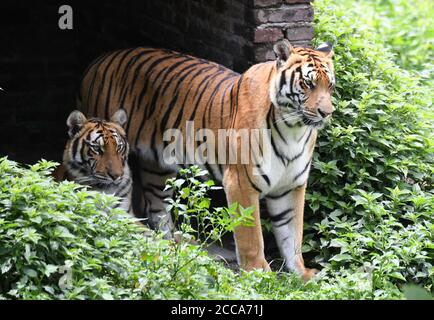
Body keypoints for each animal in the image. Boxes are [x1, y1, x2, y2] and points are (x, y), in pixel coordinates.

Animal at [77, 39, 336, 280]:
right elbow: (251, 236)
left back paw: (174, 245)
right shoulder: (241, 183)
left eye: (330, 85)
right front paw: (258, 275)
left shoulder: (291, 186)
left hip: (158, 167)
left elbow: (292, 235)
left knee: (157, 206)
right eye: (308, 84)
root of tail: (101, 59)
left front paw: (302, 274)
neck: (294, 129)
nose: (327, 113)